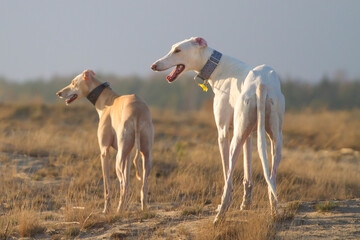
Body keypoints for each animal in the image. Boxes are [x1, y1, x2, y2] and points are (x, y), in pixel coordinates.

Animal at [56, 70, 153, 213]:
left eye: (73, 82)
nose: (59, 93)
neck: (106, 99)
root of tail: (137, 112)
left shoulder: (104, 151)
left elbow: (107, 186)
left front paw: (106, 209)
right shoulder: (128, 155)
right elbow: (128, 183)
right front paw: (126, 207)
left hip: (118, 161)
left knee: (122, 183)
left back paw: (118, 210)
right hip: (145, 155)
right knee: (142, 185)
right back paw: (143, 209)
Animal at [151, 37, 284, 223]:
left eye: (177, 50)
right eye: (173, 48)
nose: (154, 66)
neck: (219, 67)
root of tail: (261, 84)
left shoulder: (223, 132)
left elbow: (227, 171)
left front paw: (229, 204)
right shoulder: (249, 133)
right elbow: (248, 172)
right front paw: (246, 203)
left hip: (235, 139)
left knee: (228, 178)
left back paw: (220, 214)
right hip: (274, 138)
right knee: (272, 177)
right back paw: (275, 211)